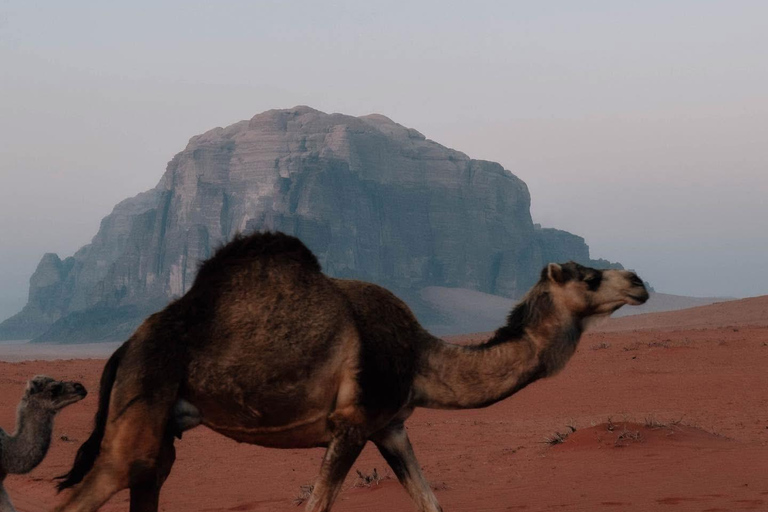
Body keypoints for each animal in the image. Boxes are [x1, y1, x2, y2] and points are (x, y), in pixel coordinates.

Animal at [55, 231, 648, 512]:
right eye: (589, 276)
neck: (419, 355)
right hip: (140, 409)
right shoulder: (351, 423)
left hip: (162, 433)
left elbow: (431, 502)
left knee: (148, 478)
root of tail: (125, 348)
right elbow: (317, 504)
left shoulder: (391, 427)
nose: (639, 281)